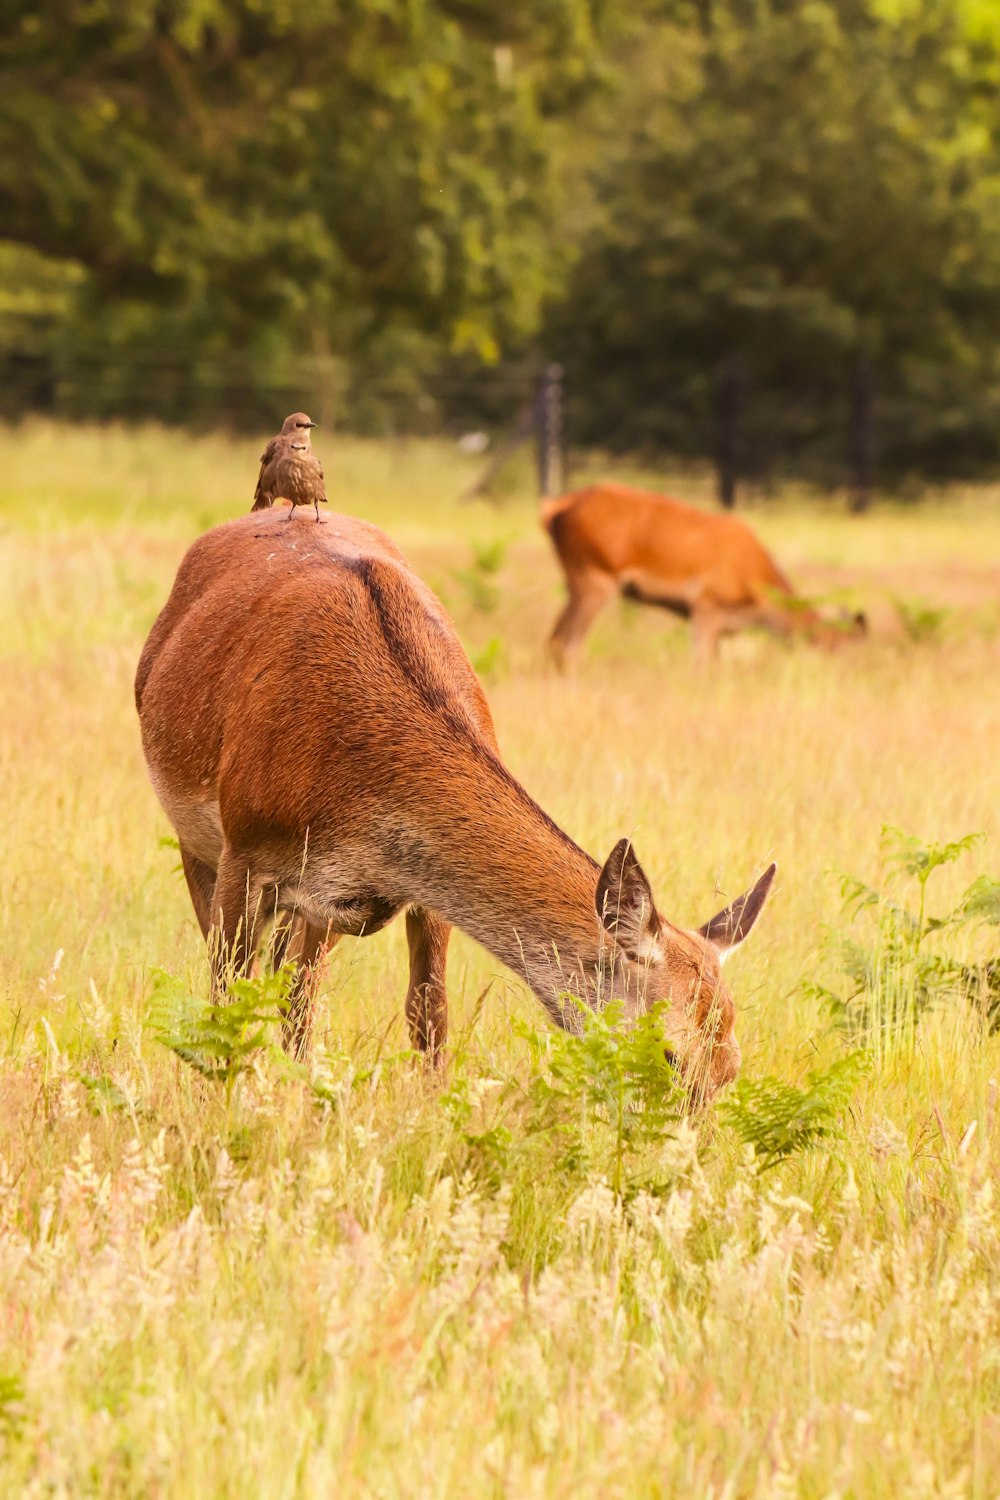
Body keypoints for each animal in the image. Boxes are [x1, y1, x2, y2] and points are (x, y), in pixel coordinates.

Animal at [134, 504, 773, 1104]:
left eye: (732, 1068)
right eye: (668, 1053)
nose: (683, 1141)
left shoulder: (411, 890)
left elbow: (428, 1014)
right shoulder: (246, 852)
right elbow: (225, 1005)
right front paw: (223, 1104)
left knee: (298, 993)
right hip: (195, 838)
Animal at [542, 483, 863, 666]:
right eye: (837, 649)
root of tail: (553, 510)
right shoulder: (706, 602)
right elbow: (703, 663)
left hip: (576, 580)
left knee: (555, 638)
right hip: (594, 577)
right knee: (568, 643)